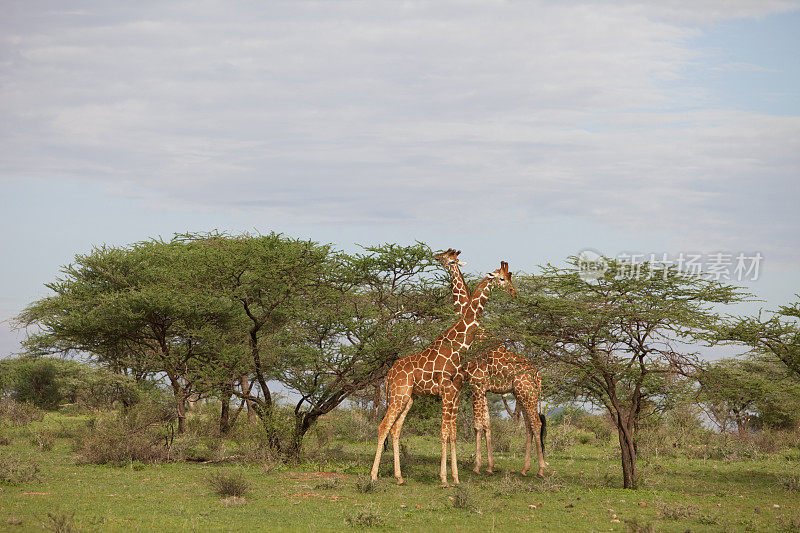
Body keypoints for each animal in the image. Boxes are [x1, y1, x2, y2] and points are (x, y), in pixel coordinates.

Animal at [370, 260, 516, 484]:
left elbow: (453, 433)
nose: (513, 291)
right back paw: (373, 476)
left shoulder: (454, 394)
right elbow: (444, 432)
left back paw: (399, 477)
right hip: (398, 395)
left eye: (509, 277)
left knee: (395, 429)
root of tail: (389, 375)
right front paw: (444, 478)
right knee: (383, 426)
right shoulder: (447, 393)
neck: (458, 347)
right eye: (501, 278)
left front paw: (455, 477)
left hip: (408, 399)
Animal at [434, 249, 548, 478]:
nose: (513, 292)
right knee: (529, 426)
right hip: (521, 395)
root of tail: (538, 375)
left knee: (536, 423)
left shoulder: (476, 384)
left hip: (527, 394)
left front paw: (479, 466)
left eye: (450, 259)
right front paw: (489, 465)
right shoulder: (482, 388)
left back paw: (540, 470)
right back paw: (525, 468)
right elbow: (487, 423)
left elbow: (479, 424)